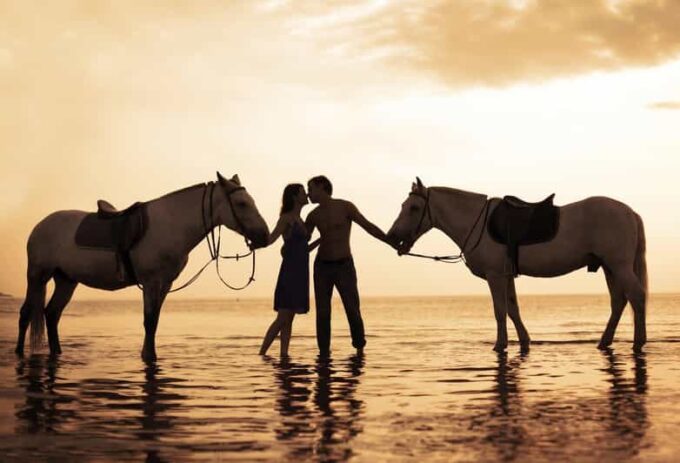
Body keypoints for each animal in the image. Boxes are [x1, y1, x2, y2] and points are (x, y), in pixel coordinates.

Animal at [15, 172, 270, 362]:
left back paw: (57, 352)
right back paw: (19, 352)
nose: (264, 236)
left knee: (52, 314)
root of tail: (40, 225)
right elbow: (149, 320)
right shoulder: (151, 282)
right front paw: (148, 356)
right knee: (27, 313)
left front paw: (149, 354)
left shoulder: (165, 284)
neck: (172, 224)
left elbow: (154, 321)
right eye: (241, 203)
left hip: (66, 280)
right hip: (37, 276)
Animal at [387, 178, 647, 353]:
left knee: (636, 295)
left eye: (414, 208)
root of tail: (630, 212)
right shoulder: (507, 276)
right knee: (619, 301)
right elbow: (513, 308)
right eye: (403, 206)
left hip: (619, 266)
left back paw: (638, 341)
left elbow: (500, 310)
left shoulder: (495, 276)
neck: (475, 222)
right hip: (609, 268)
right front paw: (524, 341)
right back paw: (604, 341)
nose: (392, 236)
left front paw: (500, 345)